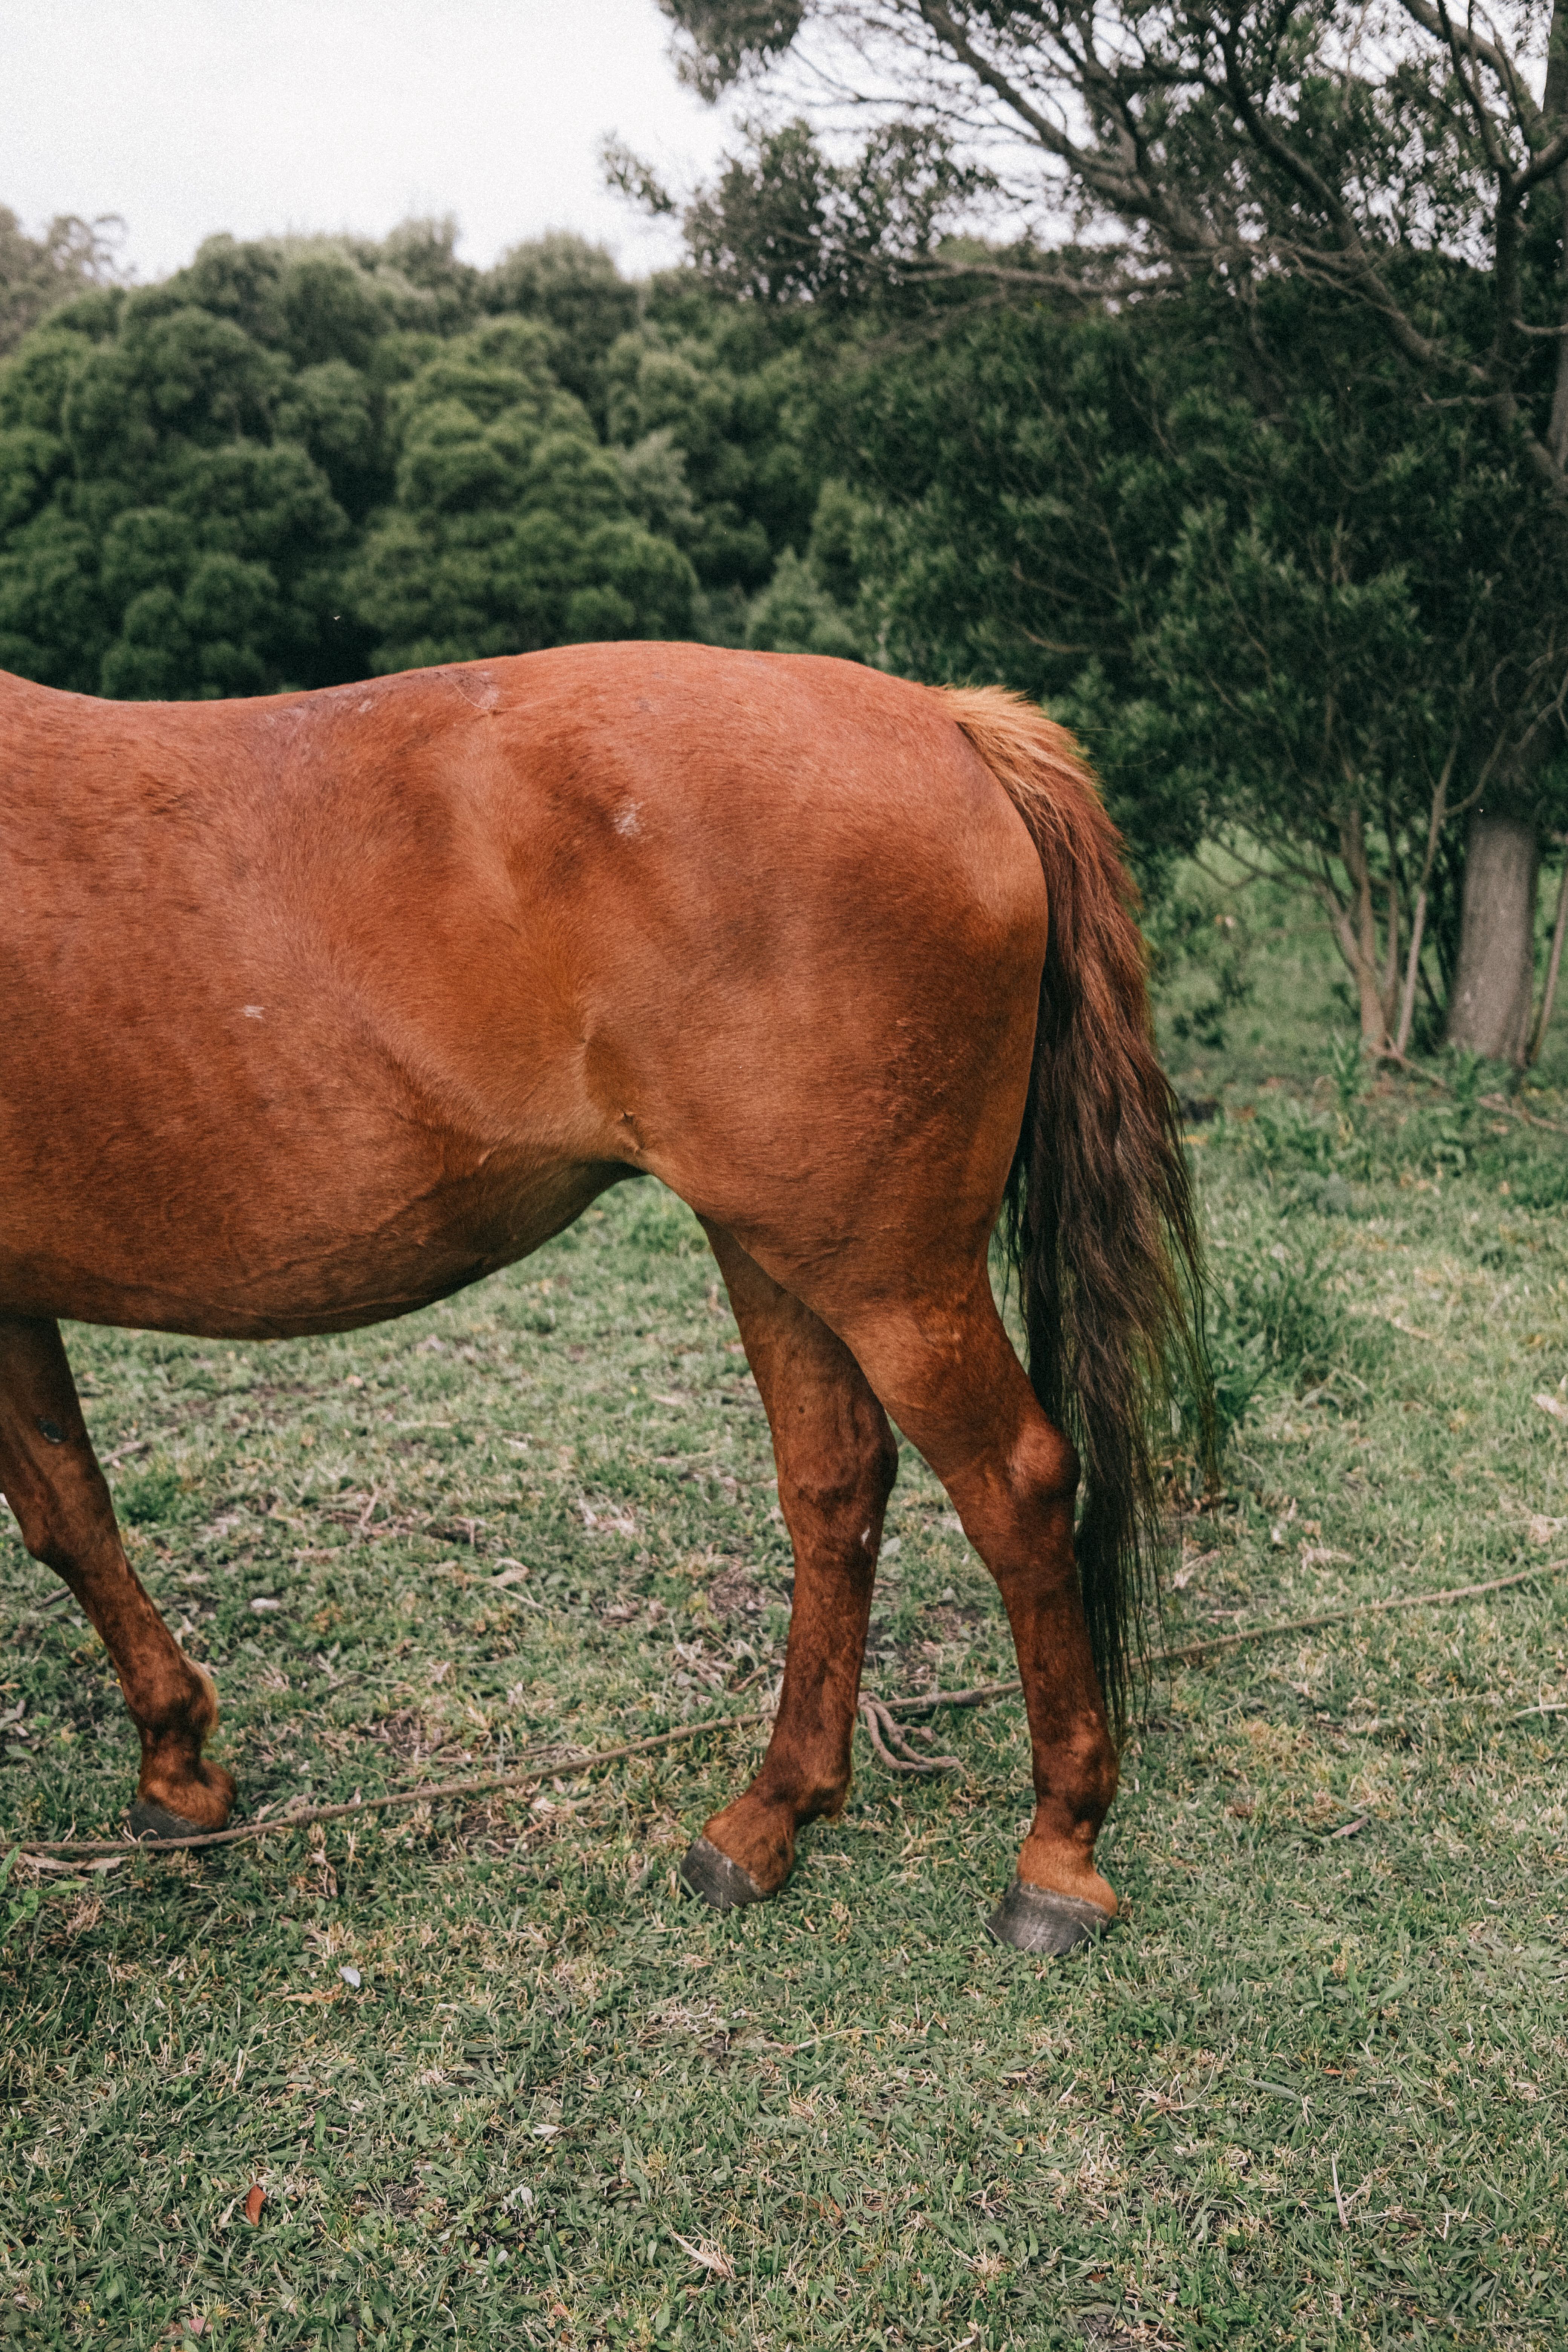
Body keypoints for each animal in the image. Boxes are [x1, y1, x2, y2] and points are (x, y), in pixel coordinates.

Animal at [0, 640, 1201, 1954]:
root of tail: (945, 720)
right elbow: (72, 1513)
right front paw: (176, 1766)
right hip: (774, 1248)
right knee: (836, 1484)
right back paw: (774, 1812)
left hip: (888, 1284)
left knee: (1017, 1487)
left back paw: (1058, 1852)